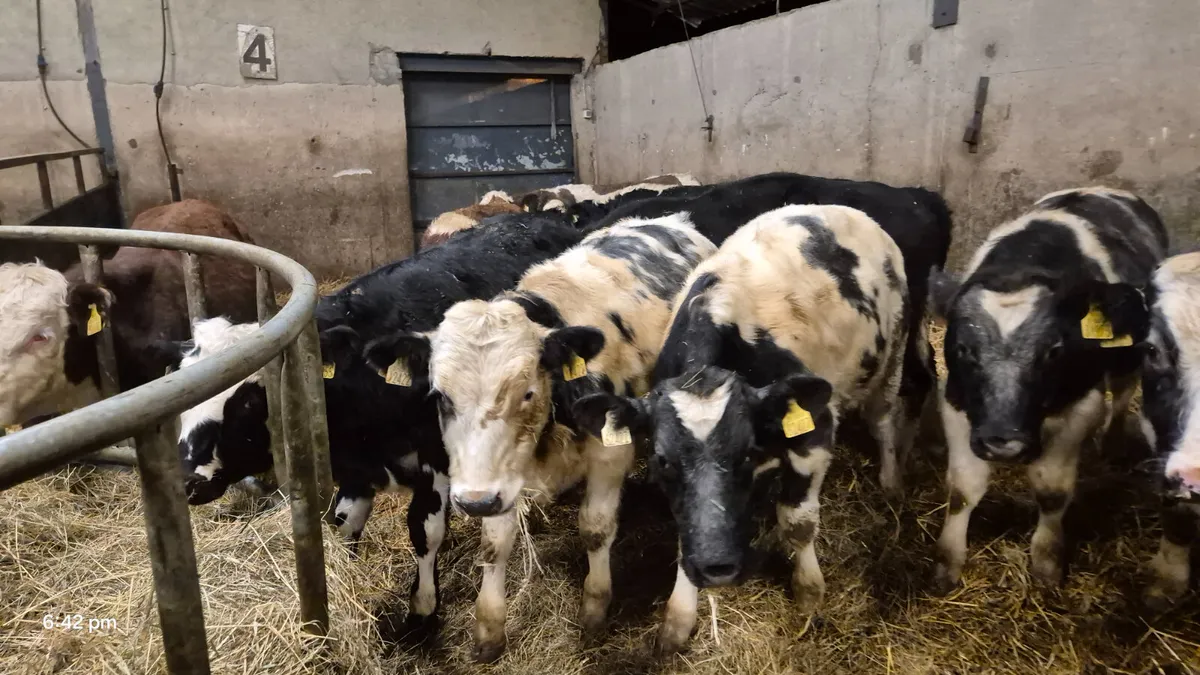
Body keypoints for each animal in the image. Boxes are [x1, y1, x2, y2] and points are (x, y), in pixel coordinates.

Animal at [168, 212, 589, 635]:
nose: (187, 480)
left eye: (250, 400)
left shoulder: (436, 462)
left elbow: (425, 530)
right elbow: (344, 523)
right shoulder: (356, 467)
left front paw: (422, 615)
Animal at [366, 215, 718, 661]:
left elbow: (596, 528)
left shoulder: (610, 454)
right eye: (441, 396)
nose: (473, 503)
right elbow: (494, 543)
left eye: (527, 393)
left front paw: (594, 609)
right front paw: (489, 629)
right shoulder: (496, 476)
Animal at [572, 204, 912, 653]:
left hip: (893, 354)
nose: (717, 567)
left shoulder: (814, 430)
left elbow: (799, 521)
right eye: (662, 460)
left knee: (885, 418)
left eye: (746, 451)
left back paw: (891, 479)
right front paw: (680, 615)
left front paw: (809, 592)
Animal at [928, 187, 1166, 592]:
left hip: (1127, 354)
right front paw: (948, 561)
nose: (1001, 441)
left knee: (1121, 393)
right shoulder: (956, 400)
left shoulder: (1080, 406)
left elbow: (1053, 492)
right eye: (962, 349)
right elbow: (962, 489)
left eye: (1054, 351)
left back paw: (1113, 441)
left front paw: (1047, 560)